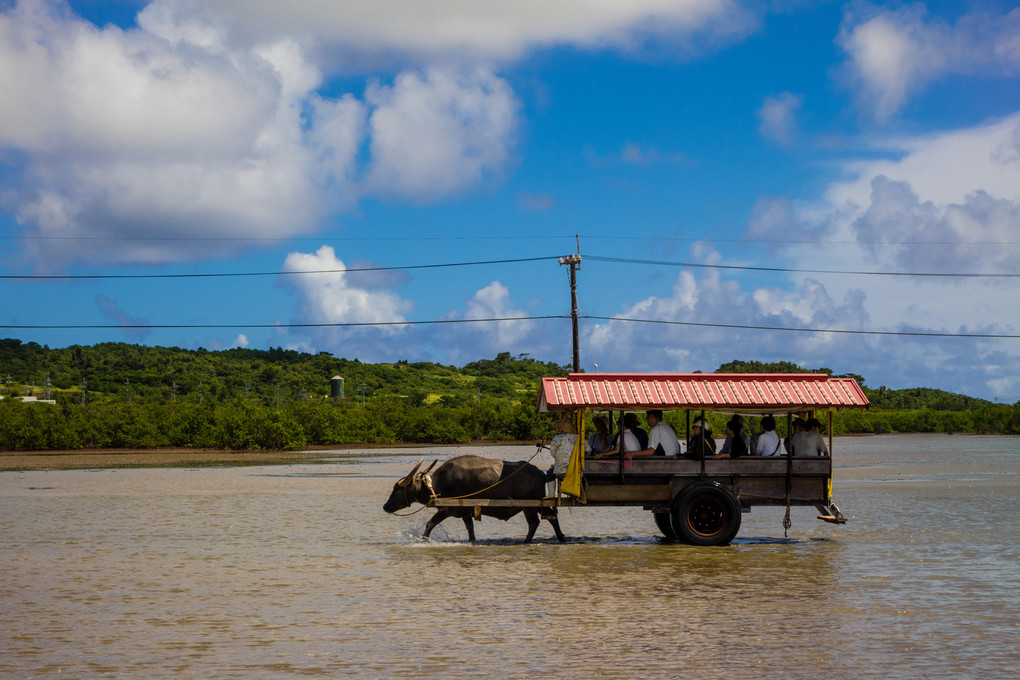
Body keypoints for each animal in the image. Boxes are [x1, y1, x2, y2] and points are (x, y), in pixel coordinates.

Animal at [385, 454, 571, 546]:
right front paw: (472, 540)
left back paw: (527, 541)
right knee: (549, 518)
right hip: (536, 504)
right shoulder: (465, 512)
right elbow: (470, 528)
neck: (436, 486)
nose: (385, 506)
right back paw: (560, 537)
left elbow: (430, 524)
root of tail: (540, 473)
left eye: (396, 488)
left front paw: (423, 540)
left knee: (536, 522)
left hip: (531, 505)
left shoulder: (446, 509)